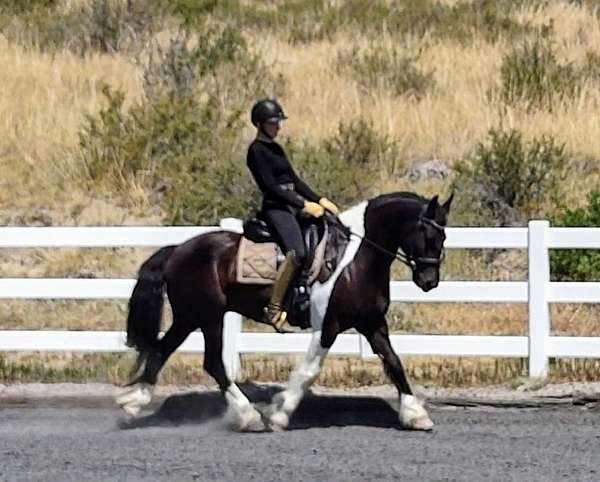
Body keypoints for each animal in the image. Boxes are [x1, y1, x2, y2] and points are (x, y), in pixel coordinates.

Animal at [117, 190, 452, 432]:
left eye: (444, 237)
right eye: (427, 234)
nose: (429, 281)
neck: (354, 261)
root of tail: (178, 249)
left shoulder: (372, 323)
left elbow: (394, 362)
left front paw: (416, 415)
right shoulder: (328, 325)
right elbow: (309, 371)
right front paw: (280, 413)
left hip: (191, 317)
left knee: (163, 351)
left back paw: (133, 404)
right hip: (207, 316)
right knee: (212, 363)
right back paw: (248, 417)